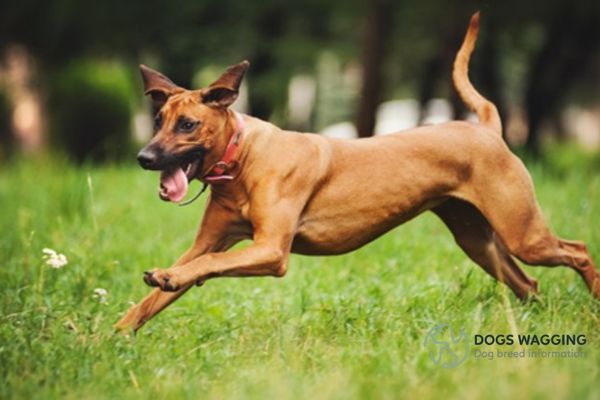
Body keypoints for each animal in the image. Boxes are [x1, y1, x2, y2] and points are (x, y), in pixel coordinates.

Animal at [115, 11, 596, 332]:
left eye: (187, 125)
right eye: (157, 121)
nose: (144, 158)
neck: (242, 158)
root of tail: (488, 128)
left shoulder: (271, 251)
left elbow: (209, 264)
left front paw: (168, 278)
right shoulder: (208, 241)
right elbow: (161, 291)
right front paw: (115, 337)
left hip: (522, 232)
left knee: (577, 251)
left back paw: (593, 302)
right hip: (479, 240)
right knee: (528, 282)